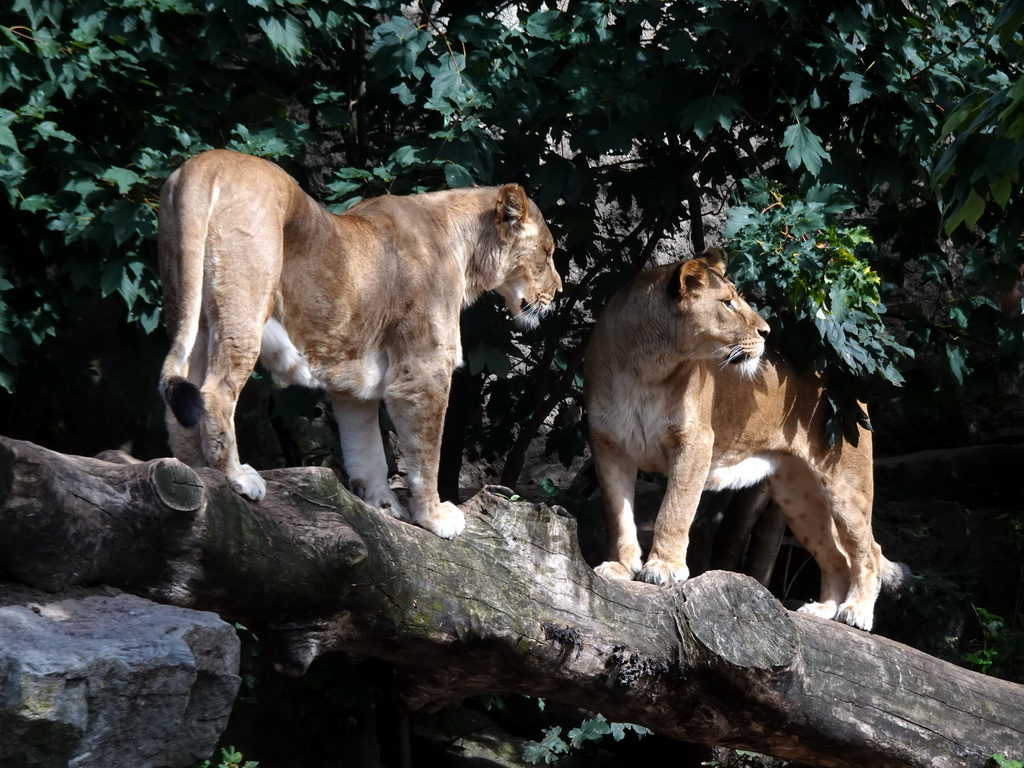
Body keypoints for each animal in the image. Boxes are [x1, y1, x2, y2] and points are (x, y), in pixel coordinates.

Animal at [157, 147, 561, 536]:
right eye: (547, 254)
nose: (558, 292)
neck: (466, 249)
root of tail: (205, 164)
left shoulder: (354, 384)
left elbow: (367, 451)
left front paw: (383, 506)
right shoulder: (423, 373)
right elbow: (426, 454)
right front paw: (433, 517)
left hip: (190, 309)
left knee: (180, 395)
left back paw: (192, 473)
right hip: (244, 306)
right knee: (215, 391)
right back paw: (237, 477)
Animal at [585, 249, 905, 626]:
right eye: (727, 303)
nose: (766, 331)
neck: (646, 368)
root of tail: (845, 382)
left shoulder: (695, 442)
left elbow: (675, 509)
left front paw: (663, 566)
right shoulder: (608, 445)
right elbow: (618, 514)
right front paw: (621, 567)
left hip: (845, 482)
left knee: (868, 549)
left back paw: (856, 611)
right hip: (798, 495)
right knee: (835, 555)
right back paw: (822, 610)